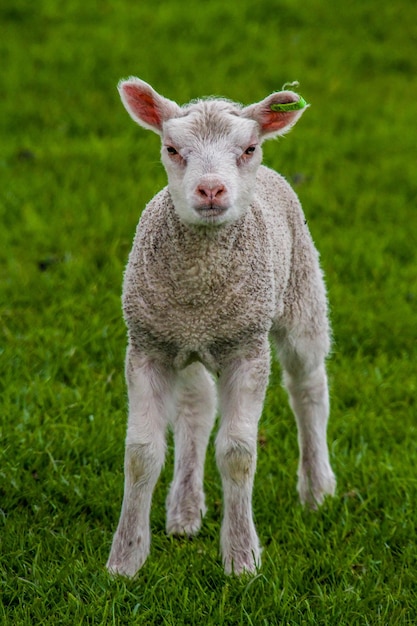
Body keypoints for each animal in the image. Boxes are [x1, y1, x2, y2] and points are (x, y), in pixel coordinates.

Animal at [105, 77, 336, 576]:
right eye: (171, 148)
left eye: (248, 148)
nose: (211, 189)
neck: (200, 288)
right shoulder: (148, 345)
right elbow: (140, 454)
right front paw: (125, 559)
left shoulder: (246, 349)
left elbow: (237, 455)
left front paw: (242, 558)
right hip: (185, 343)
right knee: (197, 405)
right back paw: (184, 509)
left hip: (302, 293)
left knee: (308, 385)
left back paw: (317, 488)